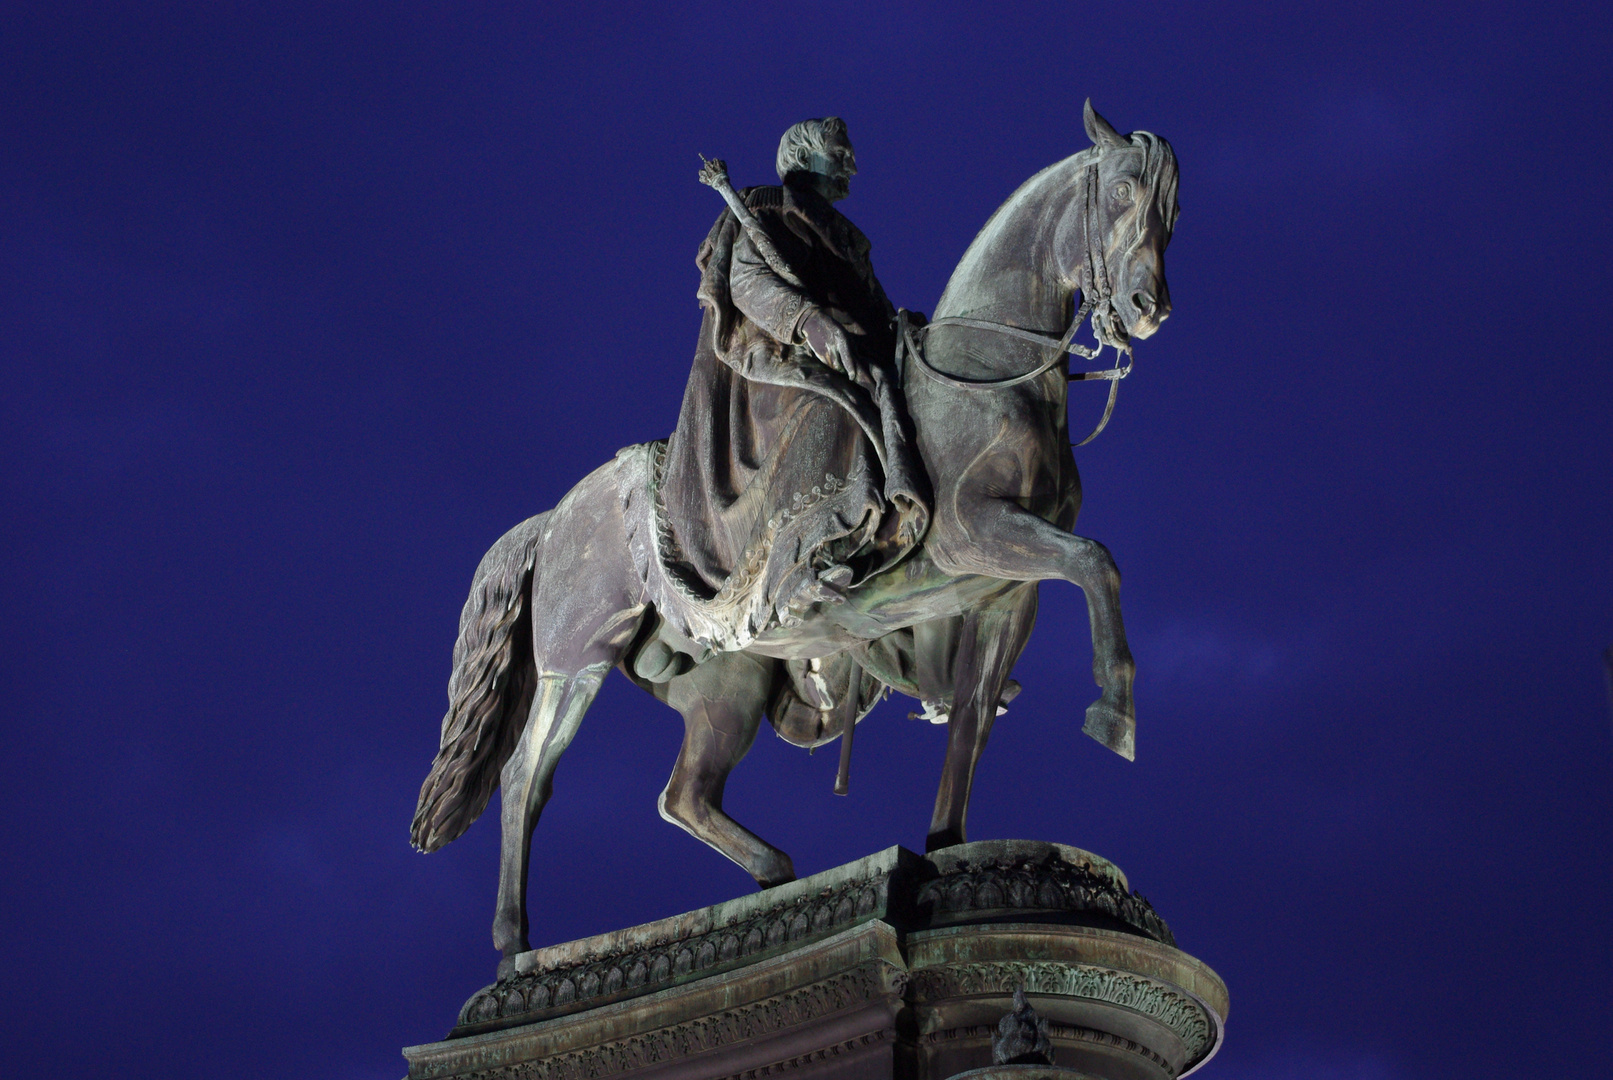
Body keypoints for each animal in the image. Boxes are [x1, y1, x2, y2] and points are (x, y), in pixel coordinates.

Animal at [409, 103, 1180, 973]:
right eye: (1121, 191)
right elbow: (1099, 564)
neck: (985, 372)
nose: (1148, 306)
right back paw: (516, 943)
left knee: (683, 795)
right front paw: (1113, 713)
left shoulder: (1000, 595)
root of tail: (552, 519)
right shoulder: (976, 537)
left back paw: (776, 877)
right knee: (526, 779)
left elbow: (975, 716)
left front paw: (945, 843)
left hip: (729, 683)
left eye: (1172, 210)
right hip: (575, 661)